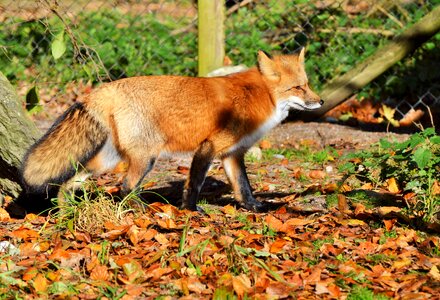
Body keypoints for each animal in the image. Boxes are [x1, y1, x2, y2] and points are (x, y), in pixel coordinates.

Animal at [20, 48, 324, 211]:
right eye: (298, 88)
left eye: (307, 84)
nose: (321, 101)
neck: (258, 95)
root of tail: (105, 88)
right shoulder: (208, 146)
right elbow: (195, 183)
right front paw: (190, 210)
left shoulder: (232, 154)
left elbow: (244, 187)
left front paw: (255, 209)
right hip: (146, 158)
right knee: (125, 187)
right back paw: (144, 211)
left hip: (108, 160)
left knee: (73, 180)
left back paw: (66, 209)